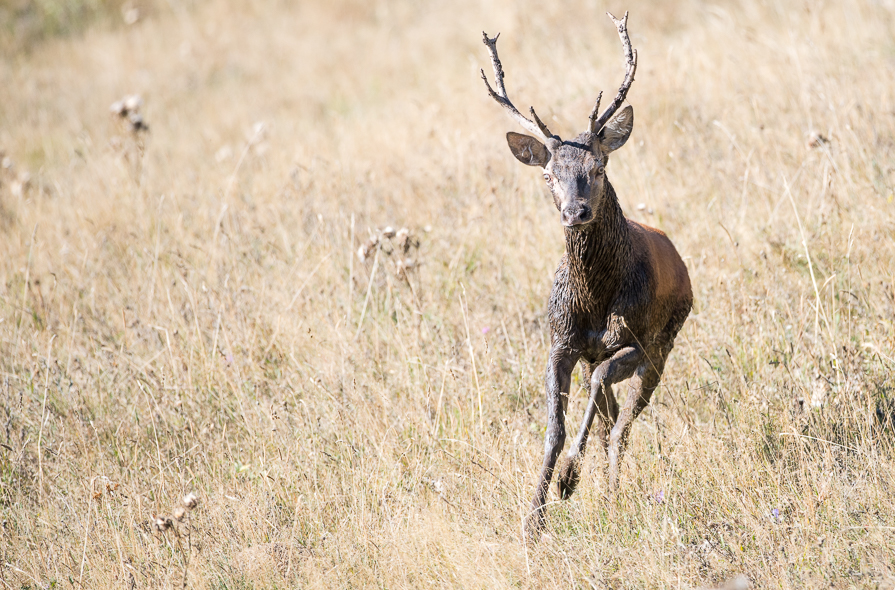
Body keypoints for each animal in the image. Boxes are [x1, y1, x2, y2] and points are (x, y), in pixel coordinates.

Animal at [480, 11, 696, 540]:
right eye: (548, 175)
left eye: (598, 167)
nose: (575, 212)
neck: (596, 298)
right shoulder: (561, 342)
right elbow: (554, 427)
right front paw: (532, 520)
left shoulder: (636, 338)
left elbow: (600, 388)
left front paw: (568, 480)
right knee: (610, 419)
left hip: (665, 344)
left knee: (621, 425)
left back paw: (611, 495)